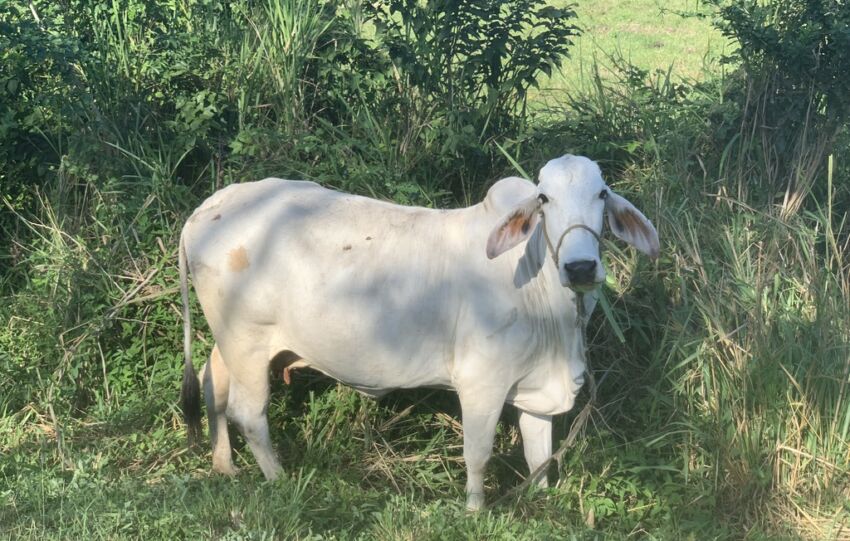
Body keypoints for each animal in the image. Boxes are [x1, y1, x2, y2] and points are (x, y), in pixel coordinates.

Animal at [179, 155, 659, 510]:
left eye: (601, 193)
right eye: (544, 198)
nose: (580, 267)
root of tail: (207, 208)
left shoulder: (538, 387)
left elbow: (539, 456)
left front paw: (541, 504)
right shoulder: (481, 383)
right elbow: (478, 454)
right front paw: (475, 511)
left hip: (232, 343)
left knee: (212, 385)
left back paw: (225, 466)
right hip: (247, 342)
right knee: (247, 413)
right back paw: (279, 481)